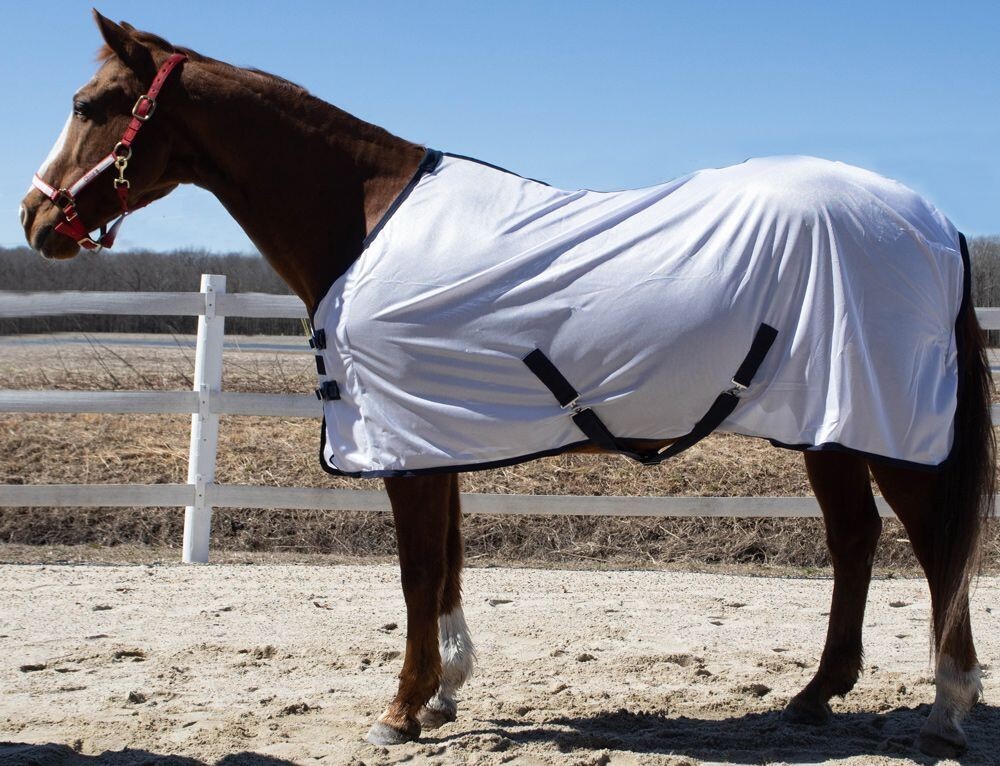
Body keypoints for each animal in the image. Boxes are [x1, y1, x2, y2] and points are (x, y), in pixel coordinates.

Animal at [19, 12, 994, 758]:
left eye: (89, 106)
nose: (34, 219)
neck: (365, 219)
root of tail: (934, 222)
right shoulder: (431, 432)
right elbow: (447, 563)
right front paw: (445, 691)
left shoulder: (403, 446)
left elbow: (417, 573)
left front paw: (399, 711)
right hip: (829, 425)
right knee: (856, 540)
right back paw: (815, 696)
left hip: (891, 429)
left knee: (933, 547)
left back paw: (946, 708)